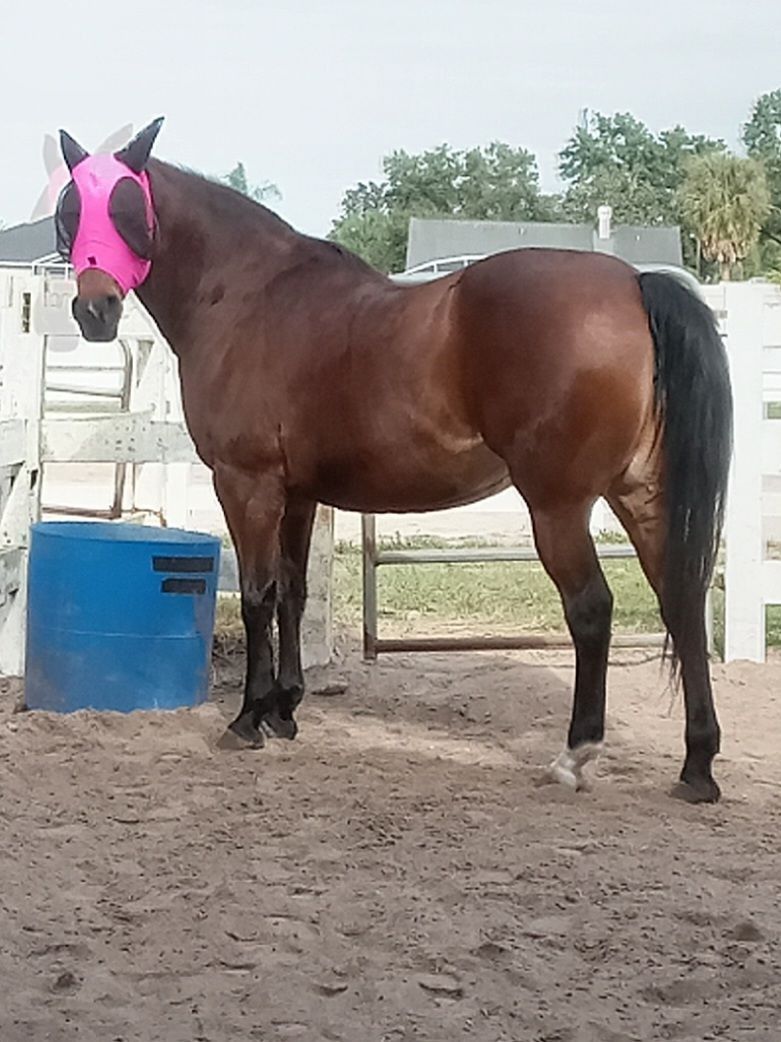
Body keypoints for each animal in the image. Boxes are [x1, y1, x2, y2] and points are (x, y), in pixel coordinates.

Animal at [55, 118, 732, 803]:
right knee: (681, 600)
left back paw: (576, 752)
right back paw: (697, 766)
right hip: (641, 493)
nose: (95, 310)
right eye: (70, 212)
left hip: (558, 505)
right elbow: (295, 592)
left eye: (127, 210)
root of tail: (631, 285)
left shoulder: (246, 484)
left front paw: (248, 718)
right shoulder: (298, 492)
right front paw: (285, 708)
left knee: (592, 609)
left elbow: (257, 595)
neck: (249, 296)